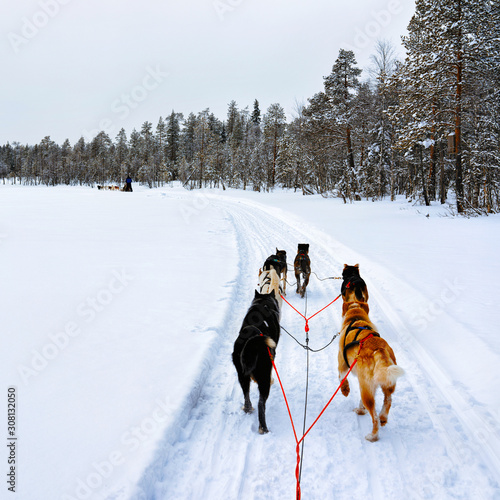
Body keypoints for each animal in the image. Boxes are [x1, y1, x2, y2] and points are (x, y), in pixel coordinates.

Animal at [338, 300, 404, 442]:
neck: (356, 318)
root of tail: (379, 349)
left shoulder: (342, 365)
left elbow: (341, 378)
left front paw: (345, 389)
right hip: (384, 382)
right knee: (388, 400)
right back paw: (382, 417)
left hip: (366, 388)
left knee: (374, 417)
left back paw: (373, 435)